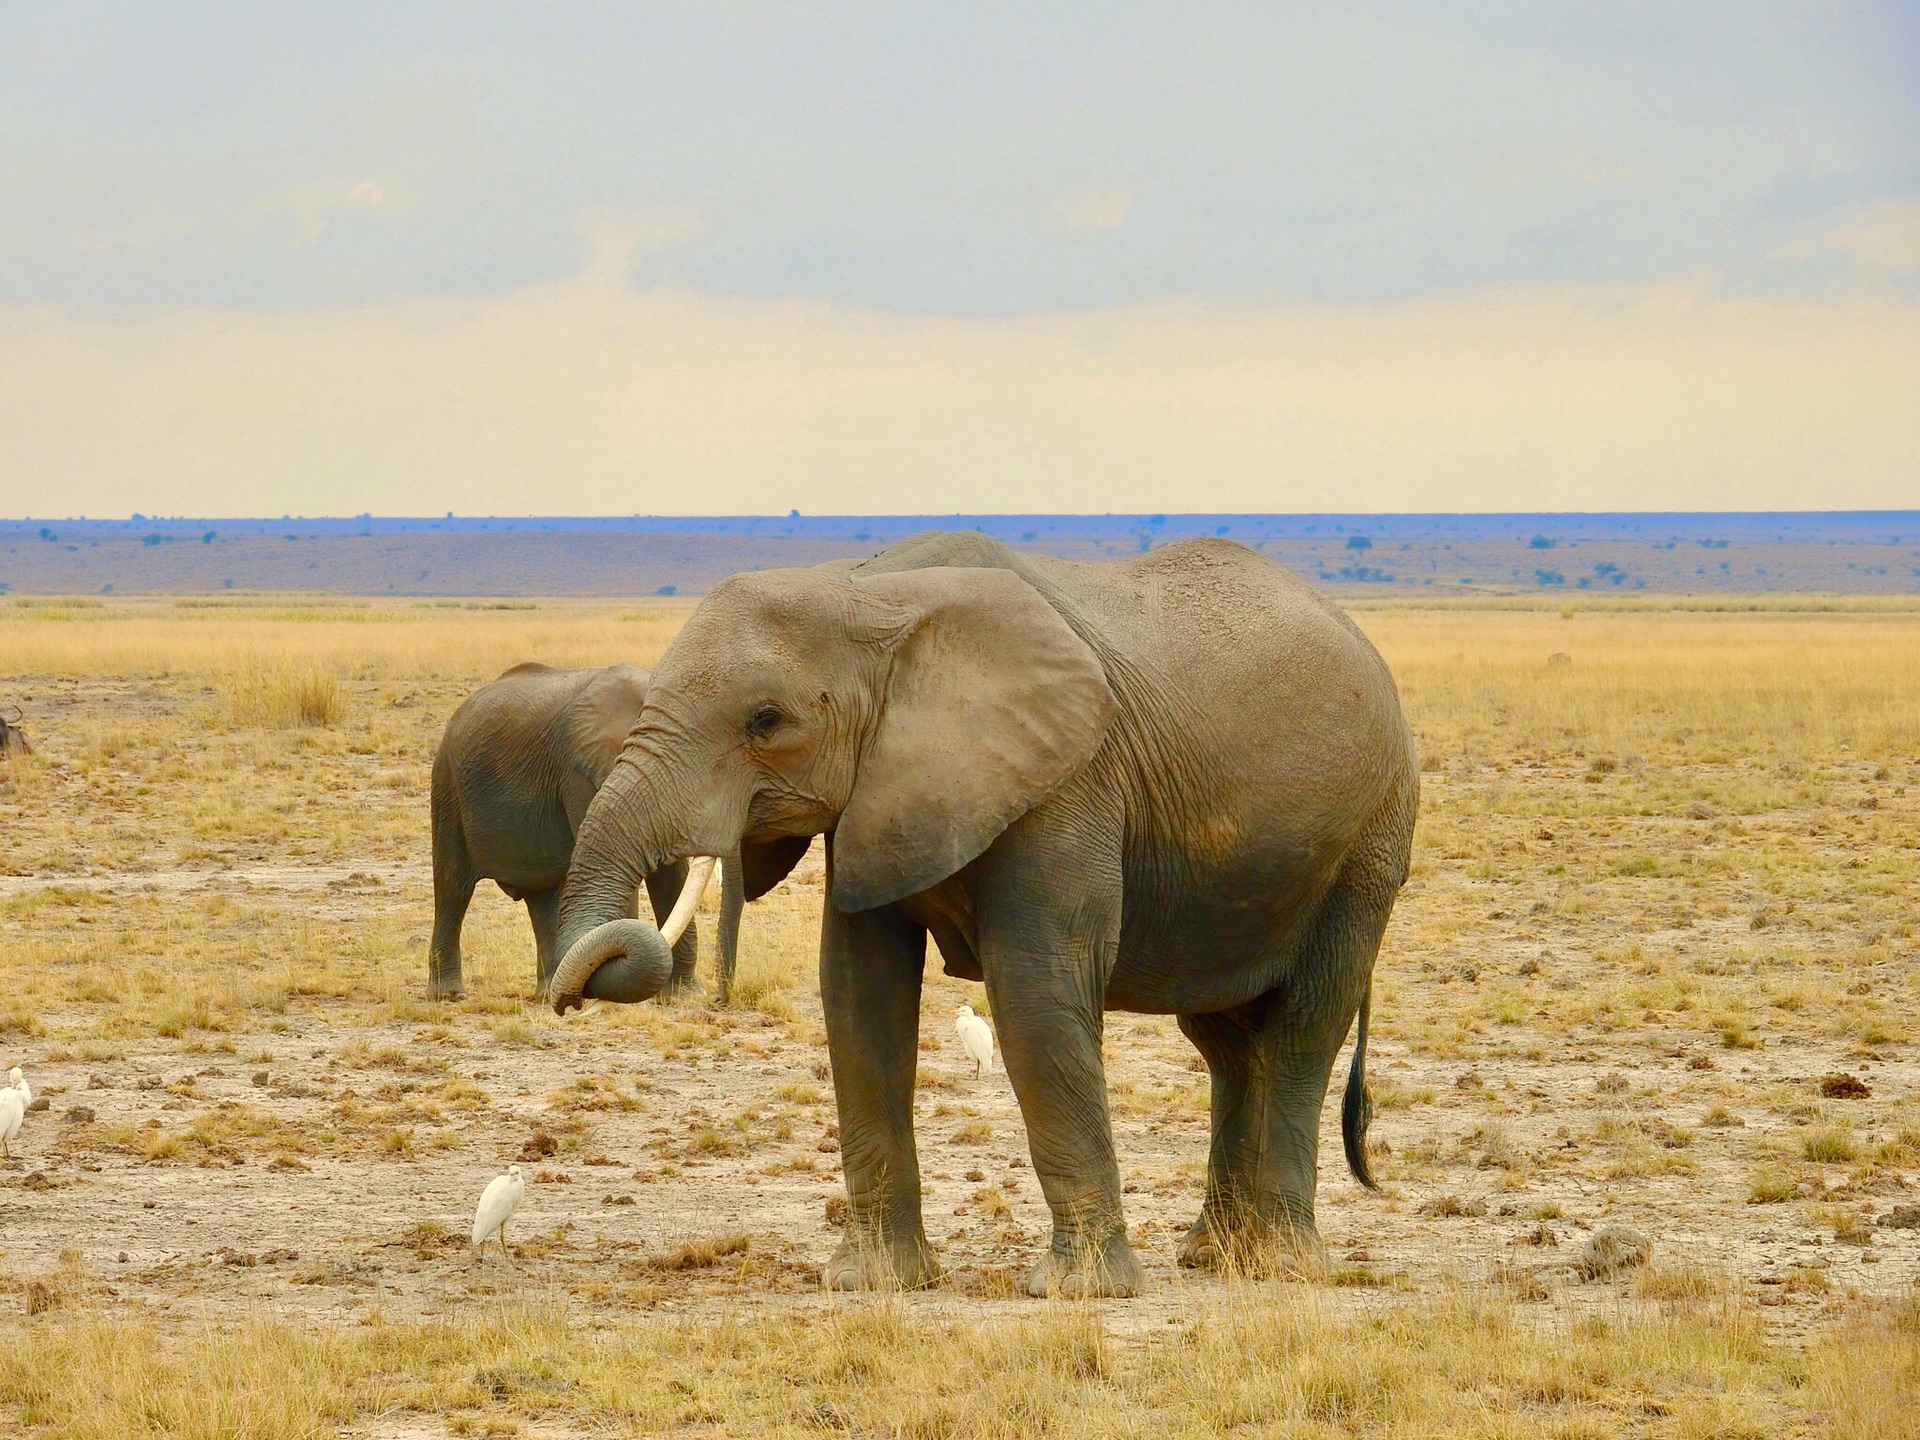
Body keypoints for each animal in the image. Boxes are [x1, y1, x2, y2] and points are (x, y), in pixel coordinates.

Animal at [428, 664, 748, 1006]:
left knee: (541, 898)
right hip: (447, 786)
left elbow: (670, 876)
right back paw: (450, 994)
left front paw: (684, 994)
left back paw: (549, 992)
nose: (719, 1001)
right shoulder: (581, 776)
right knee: (453, 889)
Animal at [541, 537, 1413, 1305]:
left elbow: (1034, 992)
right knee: (1229, 1042)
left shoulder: (1067, 781)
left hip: (1368, 843)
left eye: (766, 720)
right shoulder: (879, 794)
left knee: (1302, 1029)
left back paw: (1282, 1266)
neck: (866, 593)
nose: (567, 997)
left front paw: (1081, 1293)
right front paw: (874, 1283)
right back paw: (1213, 1256)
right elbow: (858, 998)